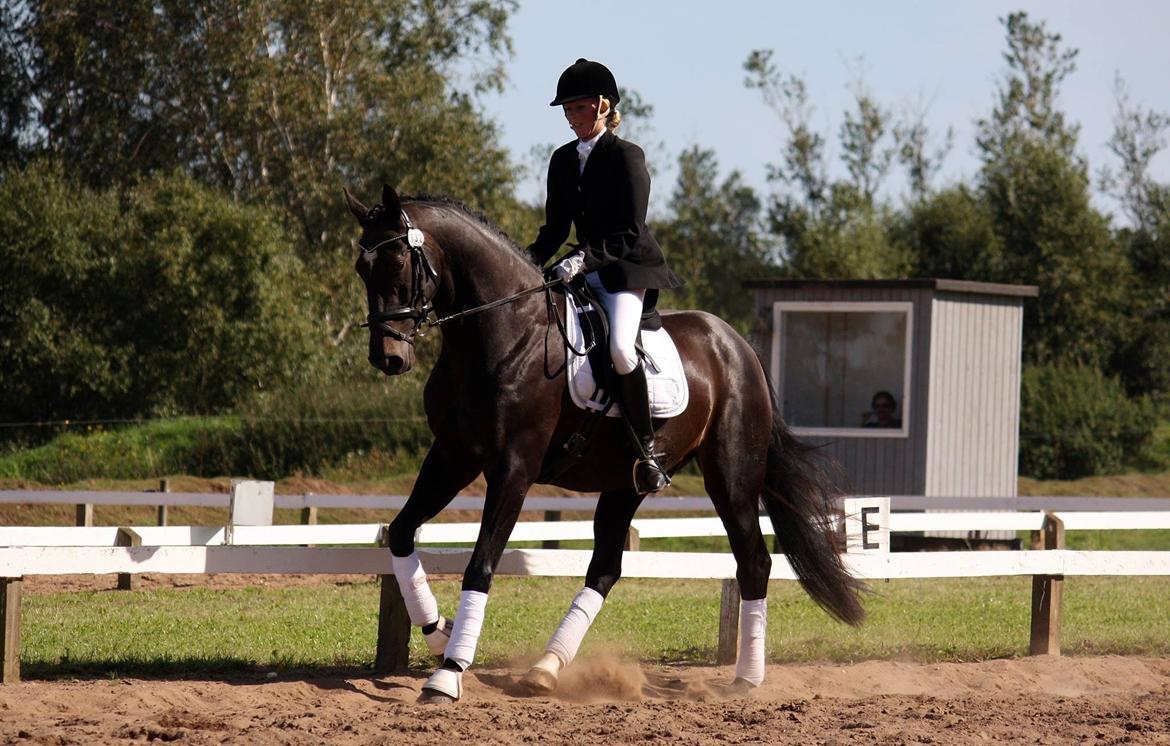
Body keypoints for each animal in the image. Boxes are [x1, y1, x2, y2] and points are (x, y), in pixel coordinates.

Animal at [341, 184, 865, 706]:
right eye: (362, 268)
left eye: (397, 263)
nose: (388, 357)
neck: (504, 332)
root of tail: (737, 344)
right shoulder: (453, 457)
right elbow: (401, 532)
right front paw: (440, 633)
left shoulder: (513, 468)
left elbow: (481, 564)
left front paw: (448, 673)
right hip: (625, 483)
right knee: (606, 568)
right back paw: (546, 668)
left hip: (731, 477)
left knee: (753, 561)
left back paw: (744, 681)